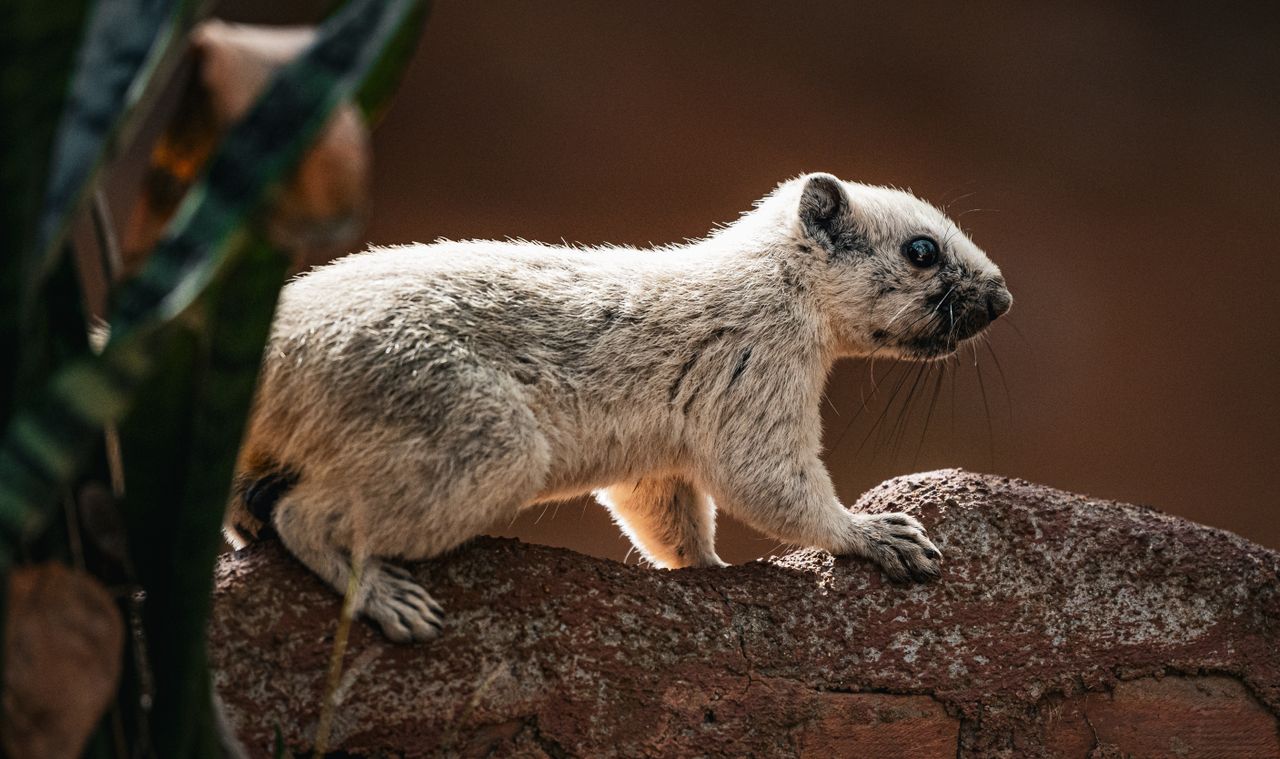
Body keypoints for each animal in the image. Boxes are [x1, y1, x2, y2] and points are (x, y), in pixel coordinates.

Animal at [224, 173, 1012, 642]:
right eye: (921, 250)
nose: (1004, 297)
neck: (776, 284)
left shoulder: (655, 467)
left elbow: (675, 528)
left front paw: (710, 569)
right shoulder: (754, 378)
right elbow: (775, 488)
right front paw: (881, 534)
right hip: (477, 440)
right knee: (303, 518)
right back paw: (390, 599)